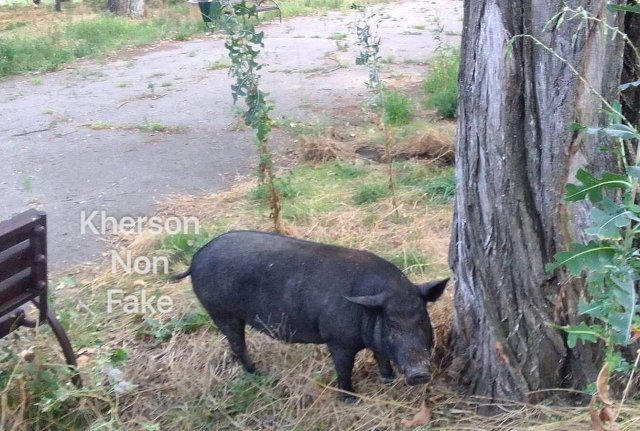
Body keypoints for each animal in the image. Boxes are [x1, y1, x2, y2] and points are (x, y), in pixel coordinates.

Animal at [172, 231, 448, 400]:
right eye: (391, 324)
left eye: (422, 319)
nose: (419, 373)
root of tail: (196, 258)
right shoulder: (337, 340)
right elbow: (343, 369)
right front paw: (351, 399)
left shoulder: (375, 341)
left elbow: (381, 356)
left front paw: (387, 380)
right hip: (221, 311)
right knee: (237, 342)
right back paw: (257, 374)